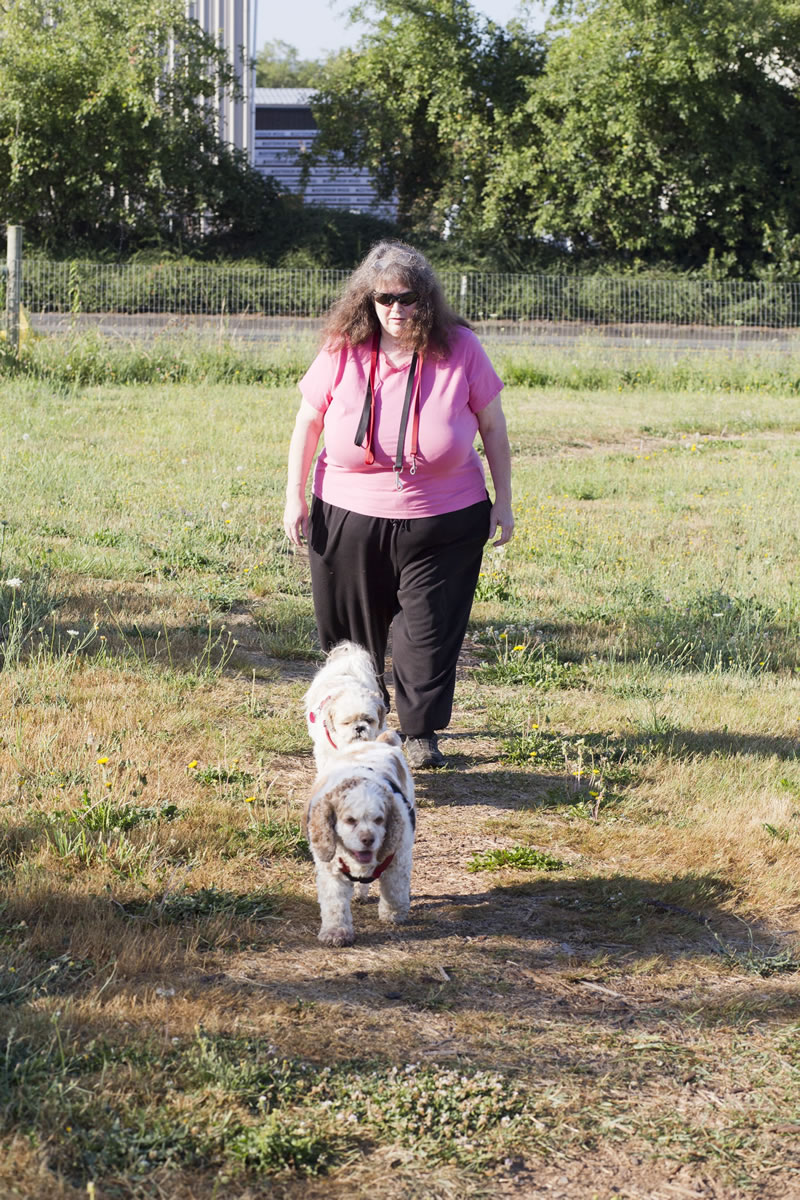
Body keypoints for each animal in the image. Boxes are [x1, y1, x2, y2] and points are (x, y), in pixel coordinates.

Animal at [303, 729, 417, 945]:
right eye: (349, 820)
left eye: (379, 820)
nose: (368, 839)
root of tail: (378, 742)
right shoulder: (331, 870)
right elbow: (335, 904)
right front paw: (335, 932)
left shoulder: (398, 859)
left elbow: (394, 890)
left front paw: (393, 914)